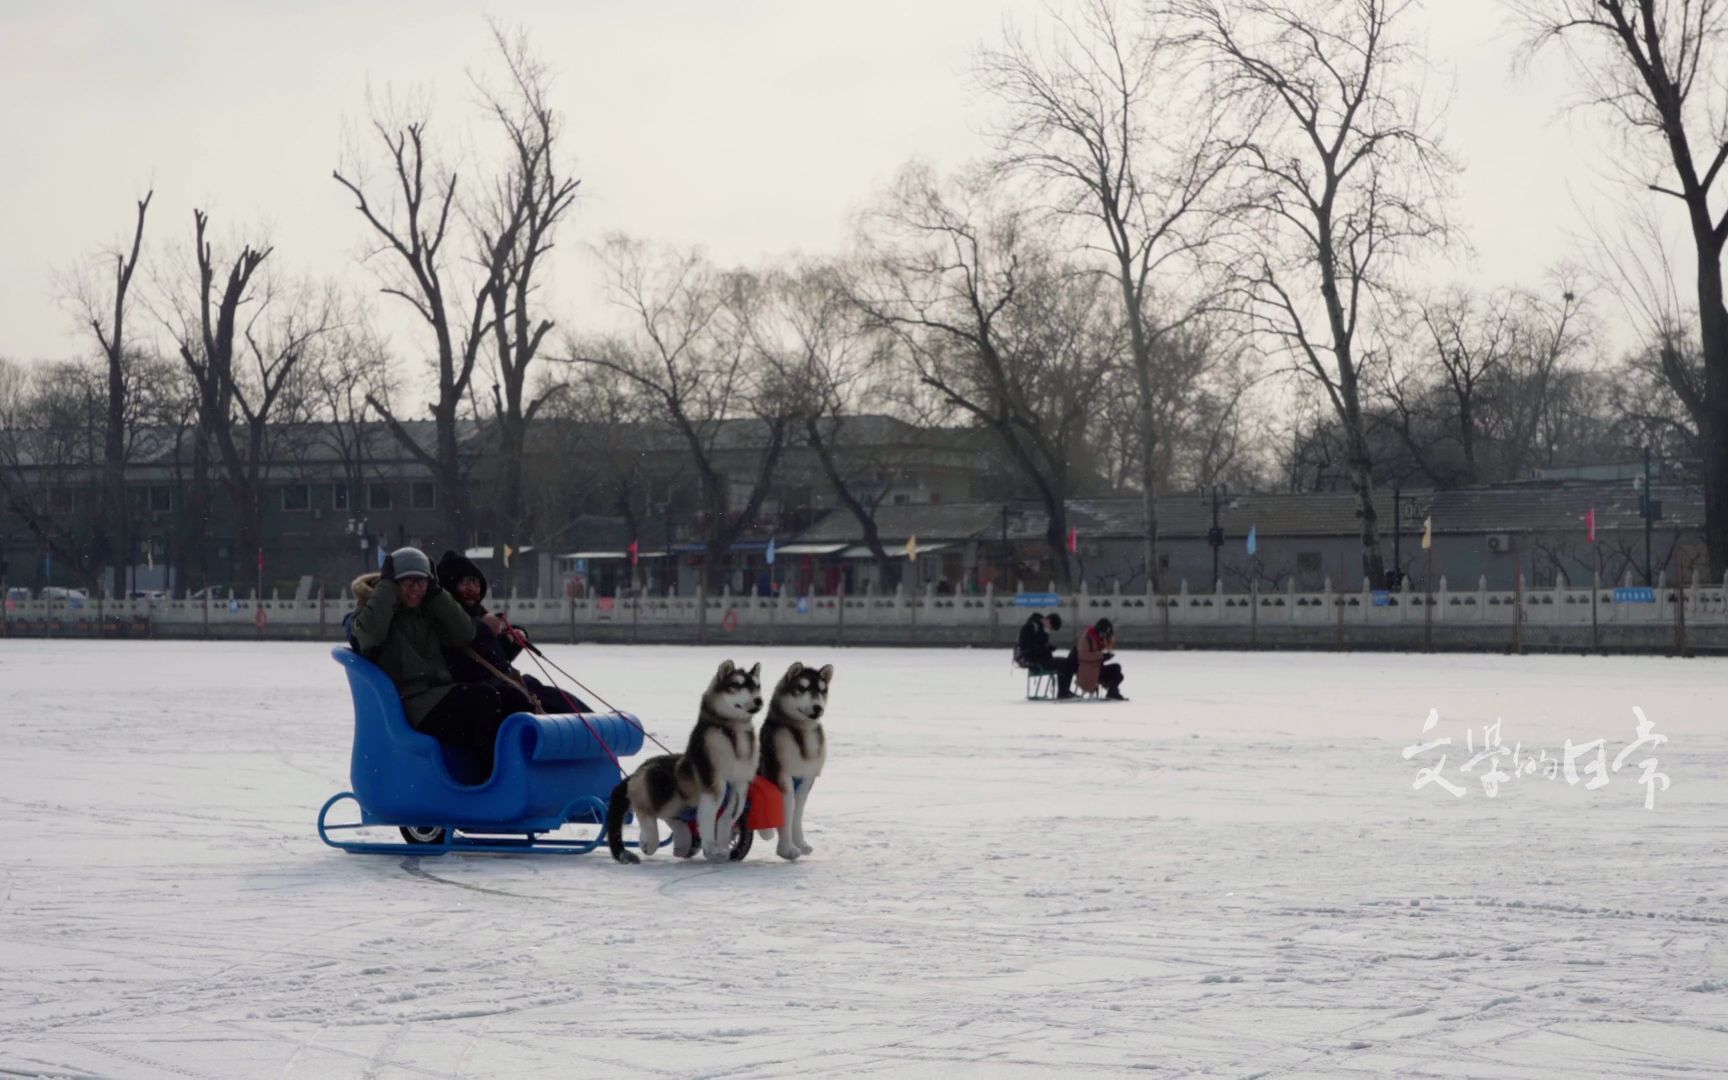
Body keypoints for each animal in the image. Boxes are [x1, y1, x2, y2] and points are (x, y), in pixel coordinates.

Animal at [611, 656, 767, 860]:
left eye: (757, 686)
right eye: (737, 685)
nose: (759, 700)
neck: (732, 731)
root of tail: (638, 770)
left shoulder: (739, 784)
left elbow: (727, 818)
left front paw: (723, 847)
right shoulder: (713, 782)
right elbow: (708, 818)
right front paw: (711, 848)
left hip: (678, 802)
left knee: (670, 816)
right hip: (660, 790)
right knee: (644, 810)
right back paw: (648, 841)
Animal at [760, 656, 832, 860]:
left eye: (822, 690)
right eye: (802, 687)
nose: (818, 708)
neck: (802, 732)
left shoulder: (806, 778)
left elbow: (797, 813)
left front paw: (800, 843)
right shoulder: (781, 775)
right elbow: (786, 811)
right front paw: (786, 849)